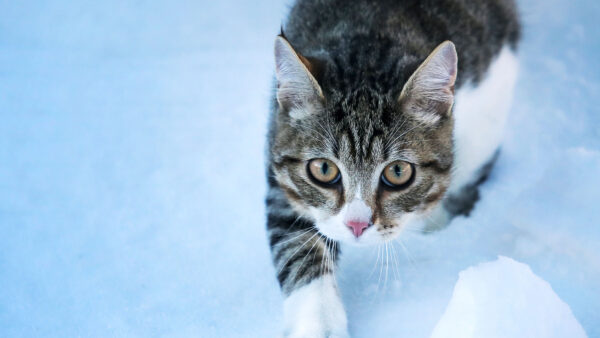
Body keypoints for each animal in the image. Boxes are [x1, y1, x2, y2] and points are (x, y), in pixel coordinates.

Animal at [264, 0, 516, 336]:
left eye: (397, 172)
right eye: (324, 169)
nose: (357, 225)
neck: (373, 34)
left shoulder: (494, 78)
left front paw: (439, 222)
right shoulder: (280, 153)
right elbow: (296, 240)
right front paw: (319, 324)